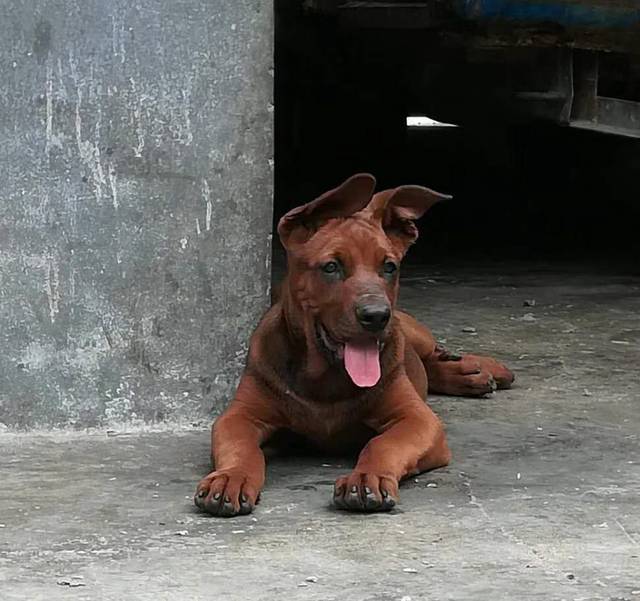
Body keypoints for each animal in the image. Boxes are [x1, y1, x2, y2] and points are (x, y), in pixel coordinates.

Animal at [192, 173, 512, 516]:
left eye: (389, 267)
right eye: (331, 267)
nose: (377, 316)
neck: (326, 378)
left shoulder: (417, 418)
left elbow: (382, 444)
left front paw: (367, 477)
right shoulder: (240, 416)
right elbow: (242, 448)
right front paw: (231, 477)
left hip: (412, 329)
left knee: (429, 354)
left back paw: (478, 370)